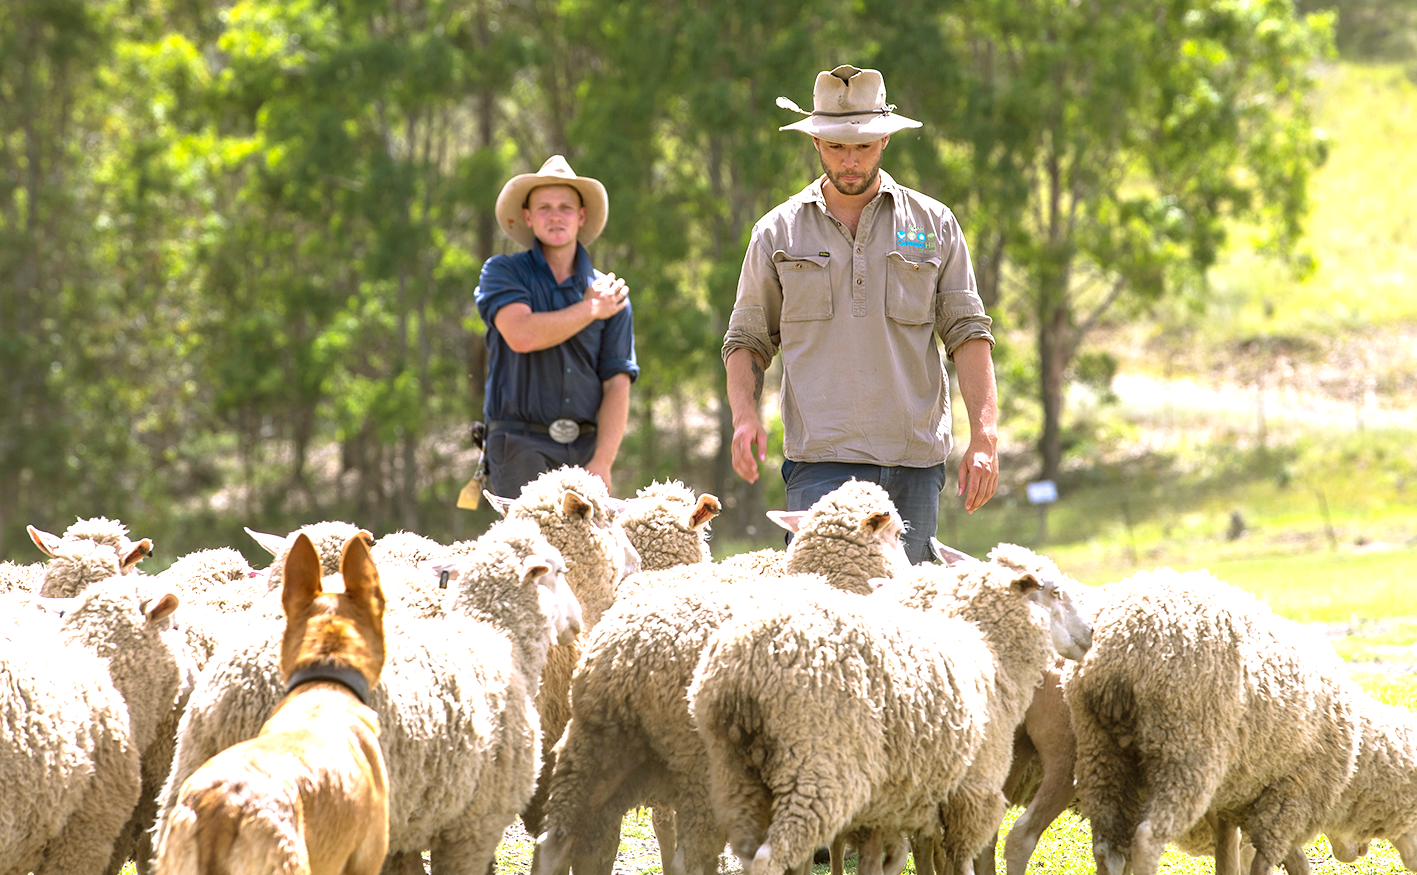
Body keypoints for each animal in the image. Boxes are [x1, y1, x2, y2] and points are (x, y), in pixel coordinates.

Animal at [535, 472, 912, 872]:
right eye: (898, 534)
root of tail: (632, 656)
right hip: (702, 768)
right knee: (686, 858)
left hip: (592, 748)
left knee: (565, 844)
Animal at [691, 557, 1065, 872]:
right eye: (1055, 593)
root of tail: (745, 664)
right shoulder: (970, 793)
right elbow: (955, 859)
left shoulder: (893, 800)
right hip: (818, 771)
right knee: (771, 857)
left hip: (736, 774)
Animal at [1065, 563, 1360, 875]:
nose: (1356, 850)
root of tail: (1117, 652)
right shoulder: (1277, 794)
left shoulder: (1236, 796)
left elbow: (1237, 850)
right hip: (1185, 753)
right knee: (1146, 836)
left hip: (1100, 752)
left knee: (1107, 847)